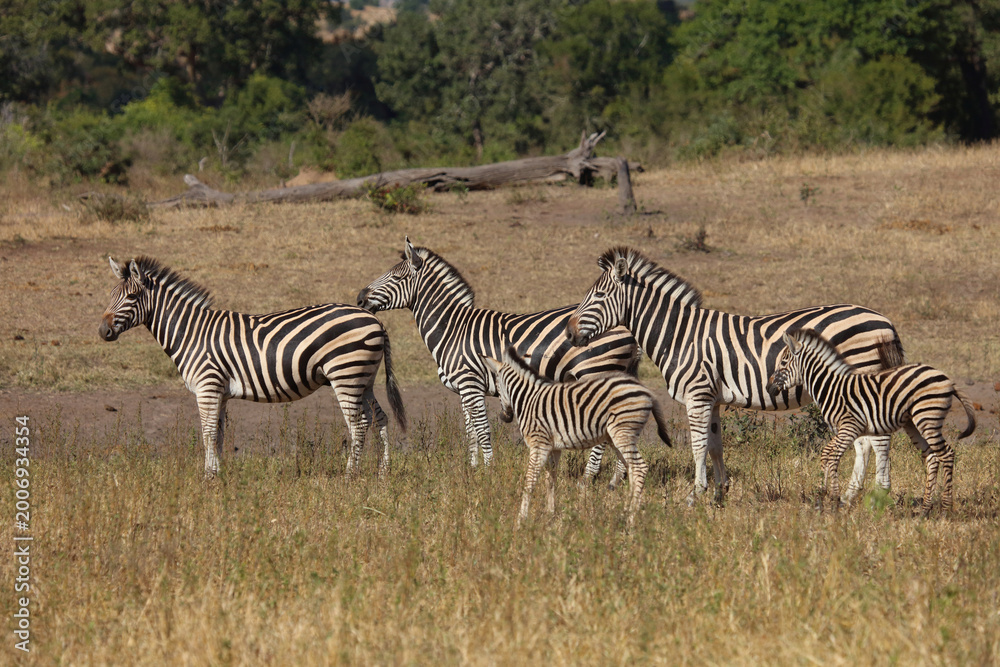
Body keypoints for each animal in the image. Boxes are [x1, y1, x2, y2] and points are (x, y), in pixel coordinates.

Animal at [99, 256, 406, 478]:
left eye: (131, 297)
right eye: (111, 295)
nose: (103, 331)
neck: (191, 332)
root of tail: (374, 318)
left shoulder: (207, 386)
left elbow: (208, 432)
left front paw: (208, 476)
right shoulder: (219, 392)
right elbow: (219, 434)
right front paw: (218, 473)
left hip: (346, 375)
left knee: (358, 425)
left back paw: (349, 475)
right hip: (363, 379)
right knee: (379, 418)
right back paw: (383, 472)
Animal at [356, 238, 641, 473]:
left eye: (395, 278)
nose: (359, 297)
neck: (452, 328)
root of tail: (626, 325)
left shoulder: (470, 383)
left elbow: (483, 430)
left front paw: (489, 471)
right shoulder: (464, 389)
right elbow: (470, 431)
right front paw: (472, 470)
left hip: (596, 371)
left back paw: (589, 478)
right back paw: (618, 477)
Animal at [483, 347, 671, 526]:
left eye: (498, 386)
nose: (505, 417)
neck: (529, 399)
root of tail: (645, 390)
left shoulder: (539, 445)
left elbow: (530, 481)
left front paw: (521, 519)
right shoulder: (553, 448)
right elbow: (550, 480)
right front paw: (551, 515)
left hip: (622, 433)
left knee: (640, 468)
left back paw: (631, 520)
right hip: (620, 437)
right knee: (631, 469)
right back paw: (625, 512)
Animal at [566, 246, 905, 505]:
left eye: (597, 296)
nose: (569, 335)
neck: (678, 335)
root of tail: (884, 320)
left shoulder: (697, 395)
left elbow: (698, 446)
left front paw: (695, 495)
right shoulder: (713, 398)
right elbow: (716, 445)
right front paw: (720, 494)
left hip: (859, 383)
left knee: (875, 441)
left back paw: (875, 494)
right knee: (866, 442)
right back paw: (851, 495)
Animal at [767, 329, 976, 514]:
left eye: (783, 362)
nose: (768, 388)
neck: (831, 387)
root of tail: (947, 379)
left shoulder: (849, 426)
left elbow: (833, 456)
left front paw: (833, 500)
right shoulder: (844, 429)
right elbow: (826, 453)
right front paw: (822, 496)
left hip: (928, 418)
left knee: (947, 454)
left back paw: (945, 509)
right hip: (914, 423)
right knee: (932, 457)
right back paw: (925, 510)